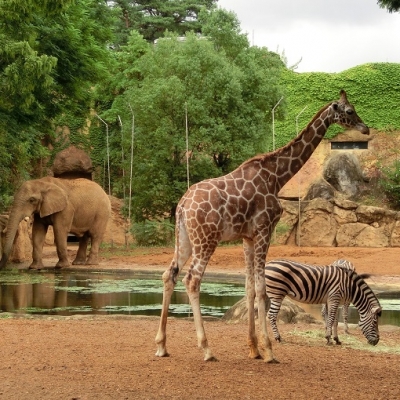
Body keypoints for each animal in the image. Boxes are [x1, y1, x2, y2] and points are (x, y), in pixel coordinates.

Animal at [154, 90, 368, 362]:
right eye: (350, 110)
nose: (365, 128)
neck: (277, 176)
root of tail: (182, 205)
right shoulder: (265, 229)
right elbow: (263, 290)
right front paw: (268, 350)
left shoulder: (247, 237)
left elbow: (249, 289)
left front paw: (253, 348)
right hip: (206, 240)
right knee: (192, 279)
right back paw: (207, 349)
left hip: (184, 239)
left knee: (169, 274)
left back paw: (162, 345)